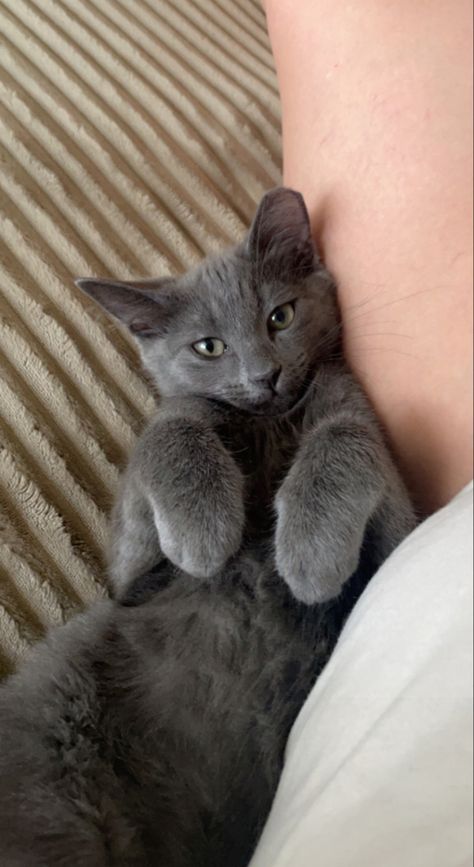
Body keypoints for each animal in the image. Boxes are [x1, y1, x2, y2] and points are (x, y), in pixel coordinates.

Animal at [0, 192, 414, 867]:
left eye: (280, 315)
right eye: (210, 348)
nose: (265, 375)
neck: (268, 428)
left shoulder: (388, 501)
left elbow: (346, 435)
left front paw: (310, 559)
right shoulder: (133, 570)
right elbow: (173, 424)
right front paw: (205, 535)